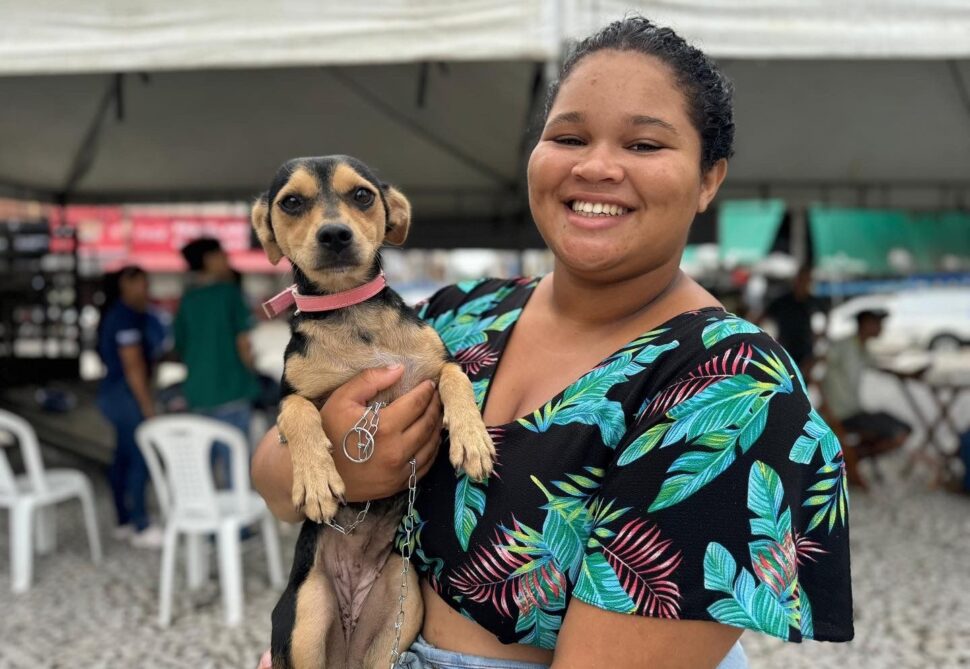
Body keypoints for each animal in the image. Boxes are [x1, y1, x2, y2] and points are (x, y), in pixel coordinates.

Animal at [251, 154, 492, 664]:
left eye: (361, 195)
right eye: (292, 203)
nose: (334, 235)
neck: (352, 315)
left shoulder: (436, 364)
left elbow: (456, 377)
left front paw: (472, 439)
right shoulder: (287, 395)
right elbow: (299, 413)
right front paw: (316, 479)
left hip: (402, 603)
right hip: (304, 617)